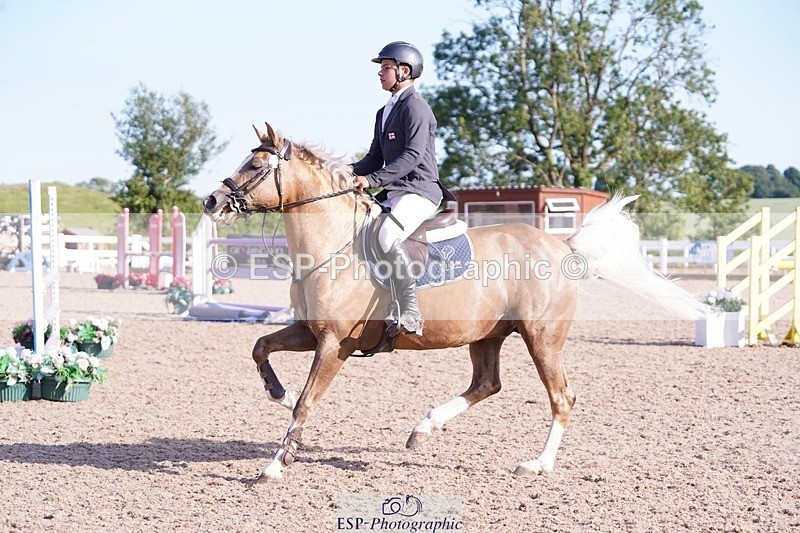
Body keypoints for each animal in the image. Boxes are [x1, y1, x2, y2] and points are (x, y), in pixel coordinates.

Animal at [202, 122, 706, 481]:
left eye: (255, 166)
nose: (211, 201)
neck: (333, 245)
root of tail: (561, 245)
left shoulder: (334, 344)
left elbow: (309, 401)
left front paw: (274, 464)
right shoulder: (310, 332)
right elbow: (261, 349)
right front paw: (279, 394)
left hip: (542, 338)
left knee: (561, 397)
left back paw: (536, 465)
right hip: (487, 335)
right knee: (486, 384)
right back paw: (422, 429)